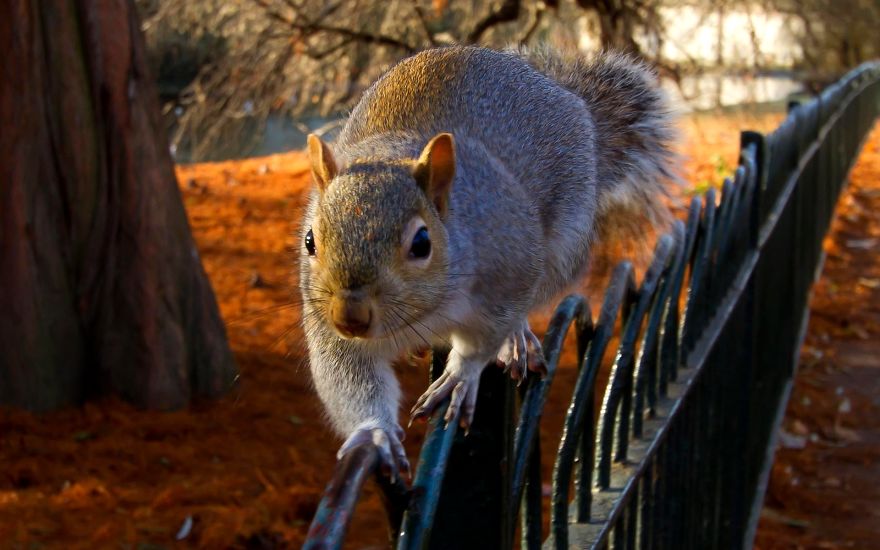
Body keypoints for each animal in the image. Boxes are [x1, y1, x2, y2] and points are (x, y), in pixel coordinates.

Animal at [299, 45, 675, 478]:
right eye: (309, 240)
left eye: (422, 243)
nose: (350, 317)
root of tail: (565, 95)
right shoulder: (326, 324)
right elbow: (348, 376)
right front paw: (374, 433)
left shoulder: (508, 272)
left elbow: (484, 338)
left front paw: (462, 375)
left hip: (562, 246)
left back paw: (517, 339)